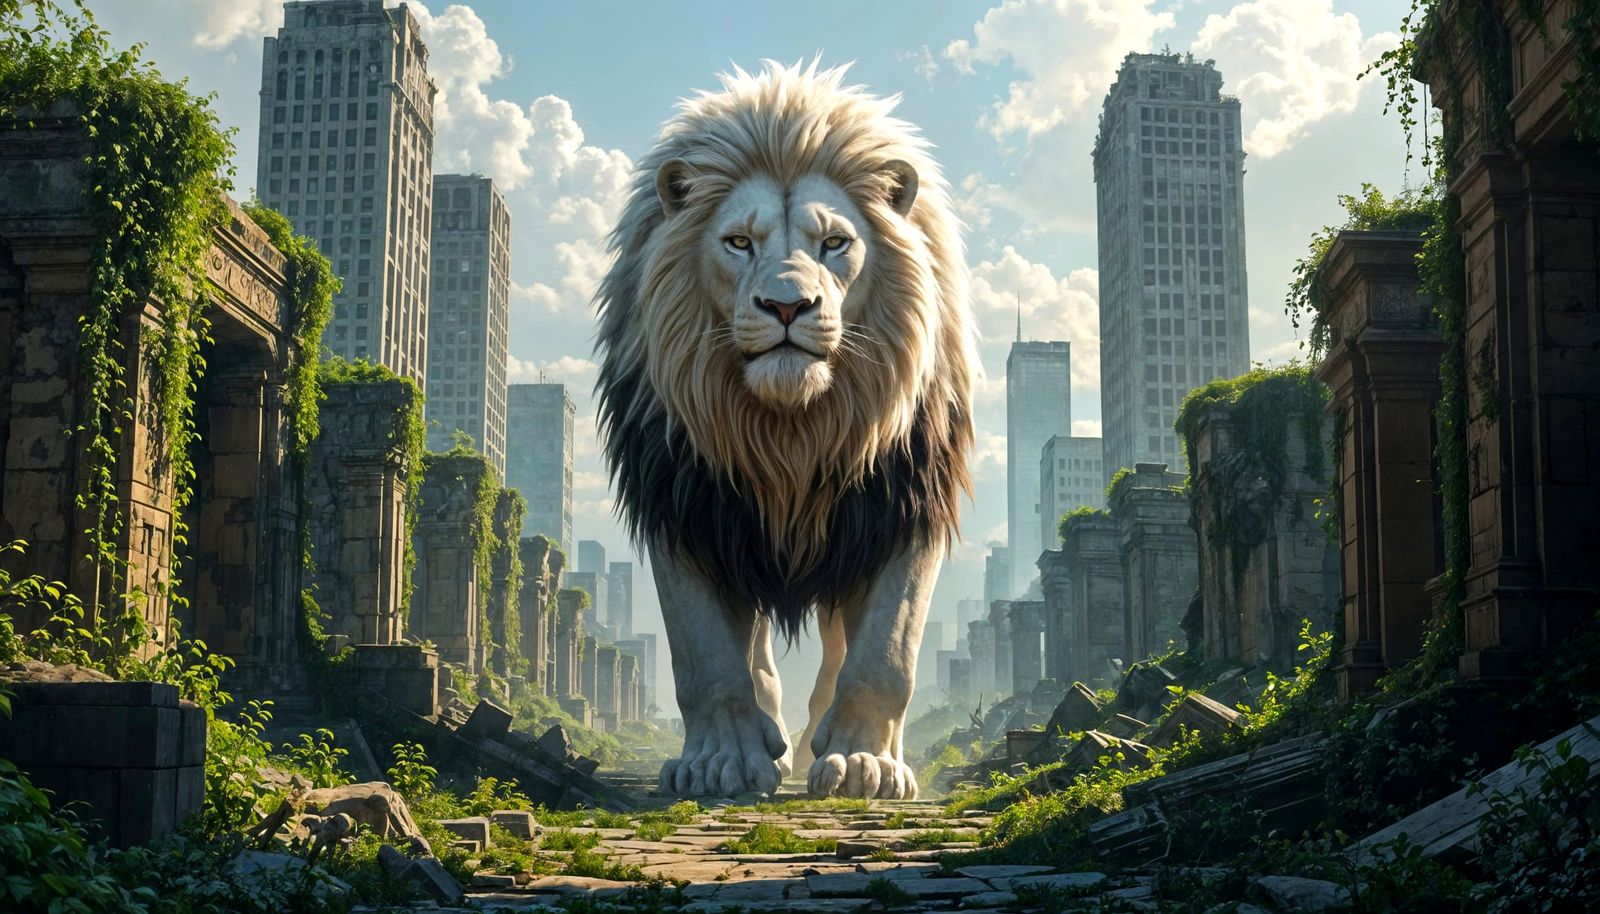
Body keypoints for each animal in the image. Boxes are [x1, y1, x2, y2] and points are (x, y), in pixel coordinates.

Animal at [594, 61, 974, 799]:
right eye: (739, 242)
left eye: (835, 243)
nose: (788, 305)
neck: (792, 433)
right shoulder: (683, 502)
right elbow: (708, 657)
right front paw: (720, 763)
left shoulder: (905, 502)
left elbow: (885, 653)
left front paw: (864, 763)